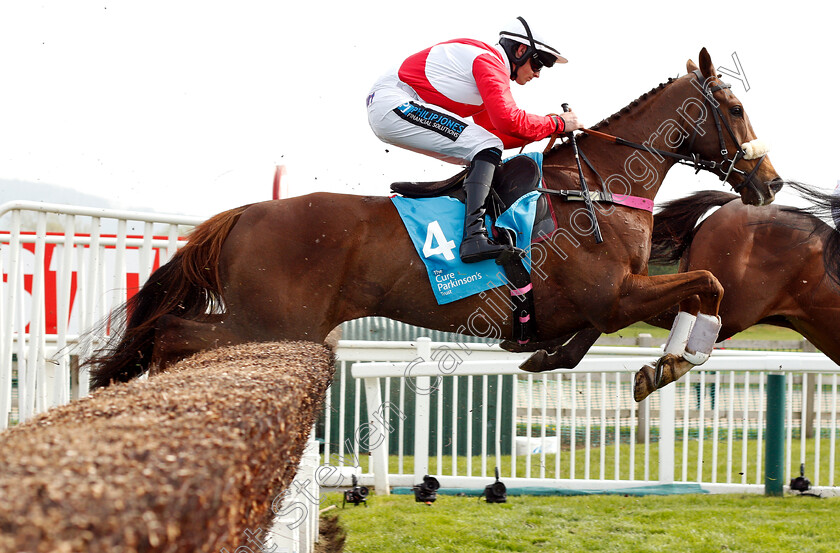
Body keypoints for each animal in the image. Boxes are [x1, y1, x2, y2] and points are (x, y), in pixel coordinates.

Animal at [87, 48, 780, 402]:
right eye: (735, 107)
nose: (770, 182)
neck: (599, 186)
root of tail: (245, 214)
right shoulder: (611, 294)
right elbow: (710, 284)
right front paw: (672, 363)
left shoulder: (602, 302)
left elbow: (599, 333)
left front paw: (559, 357)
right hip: (269, 323)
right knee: (170, 331)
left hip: (270, 323)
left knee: (170, 333)